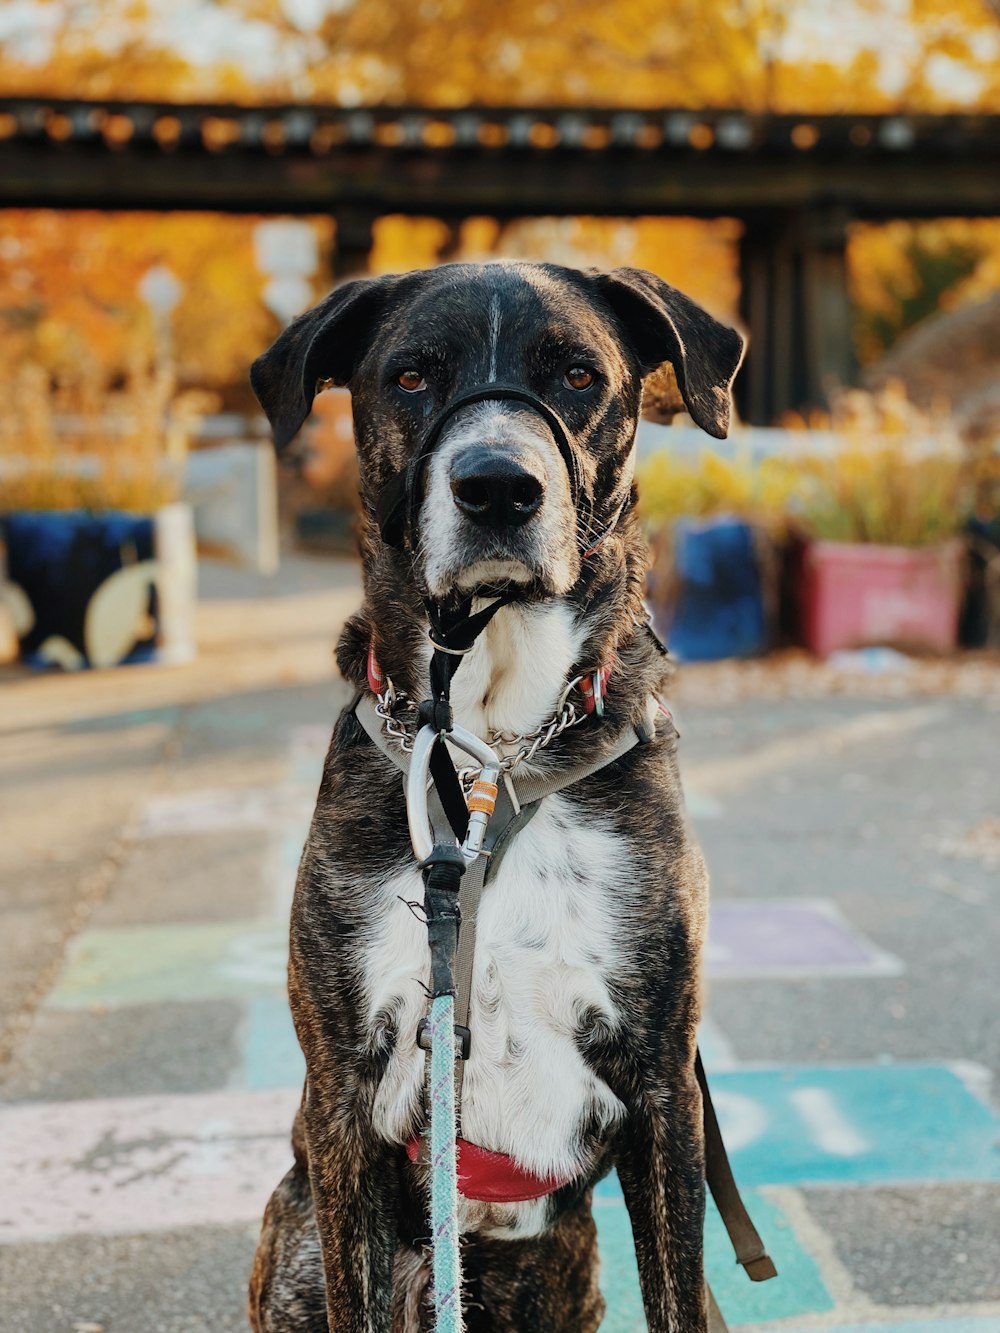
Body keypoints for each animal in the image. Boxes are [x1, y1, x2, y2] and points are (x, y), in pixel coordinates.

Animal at [248, 262, 746, 1333]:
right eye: (409, 375)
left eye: (578, 373)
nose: (498, 486)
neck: (495, 750)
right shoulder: (344, 1097)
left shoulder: (663, 1086)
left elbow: (680, 1288)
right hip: (296, 1233)